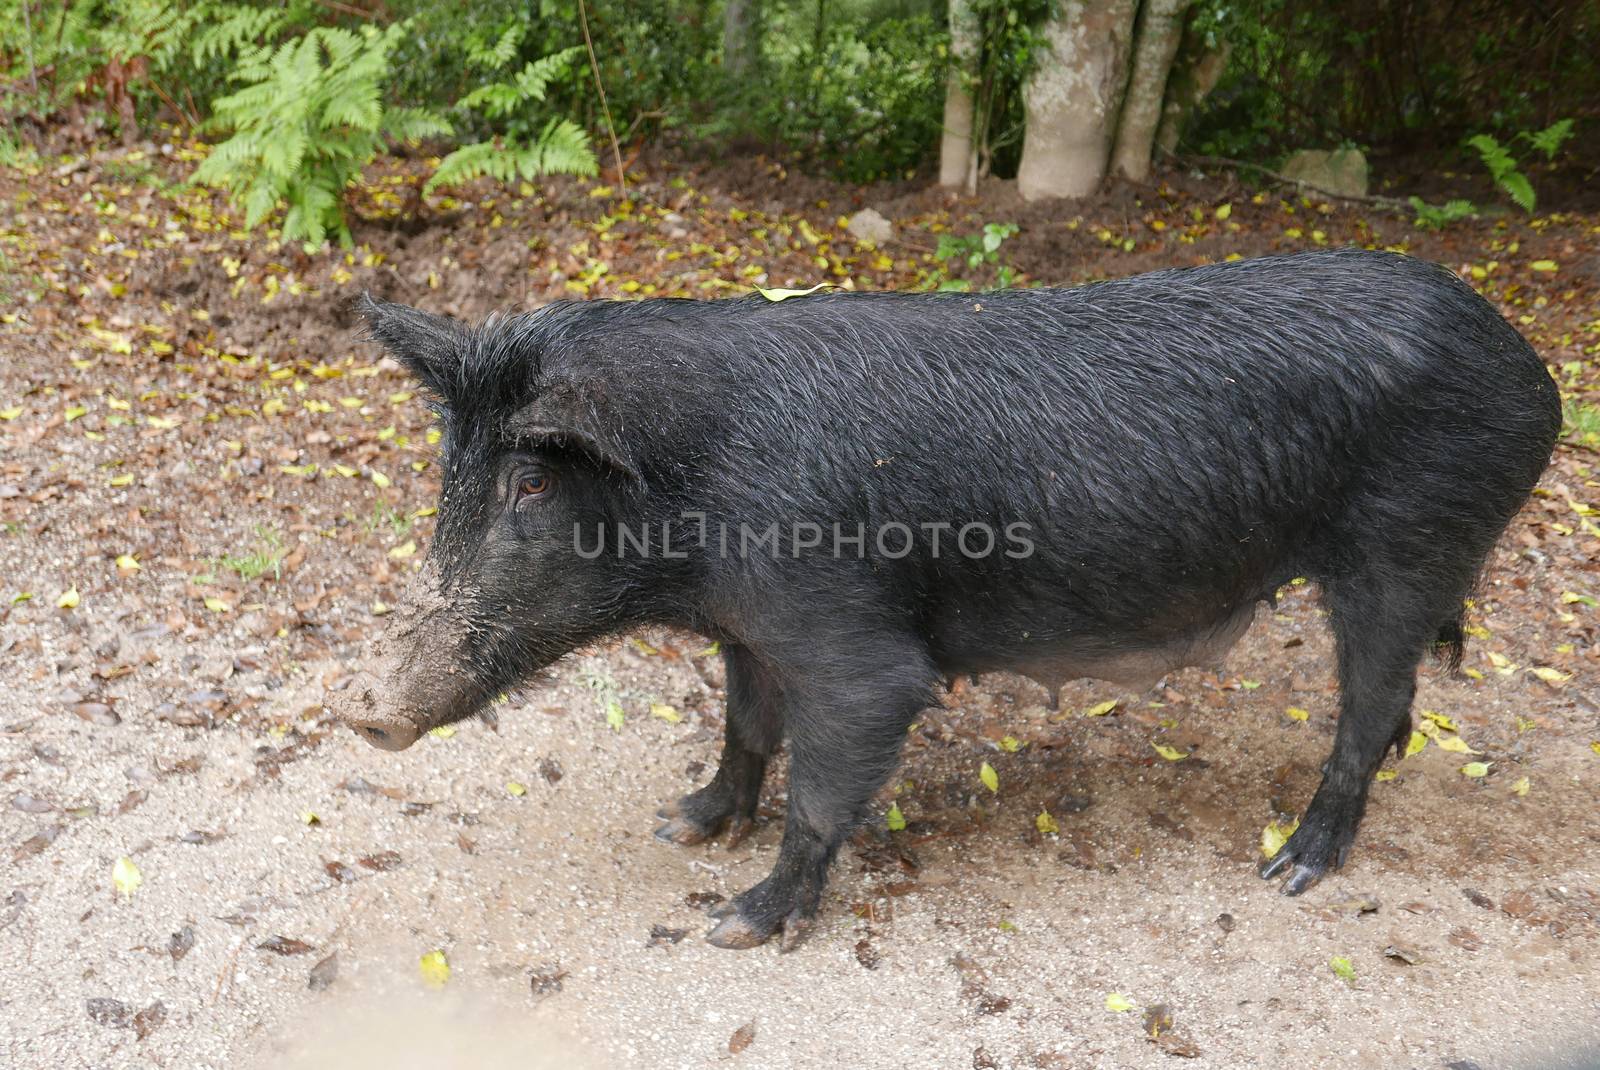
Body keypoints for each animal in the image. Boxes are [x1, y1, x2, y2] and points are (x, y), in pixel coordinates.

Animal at [340, 252, 1561, 953]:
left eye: (533, 483)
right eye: (452, 471)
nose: (359, 703)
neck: (694, 503)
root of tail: (1533, 371)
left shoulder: (854, 649)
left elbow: (822, 789)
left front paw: (732, 925)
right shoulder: (752, 631)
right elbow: (743, 728)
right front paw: (682, 823)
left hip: (1409, 546)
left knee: (1367, 709)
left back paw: (1289, 871)